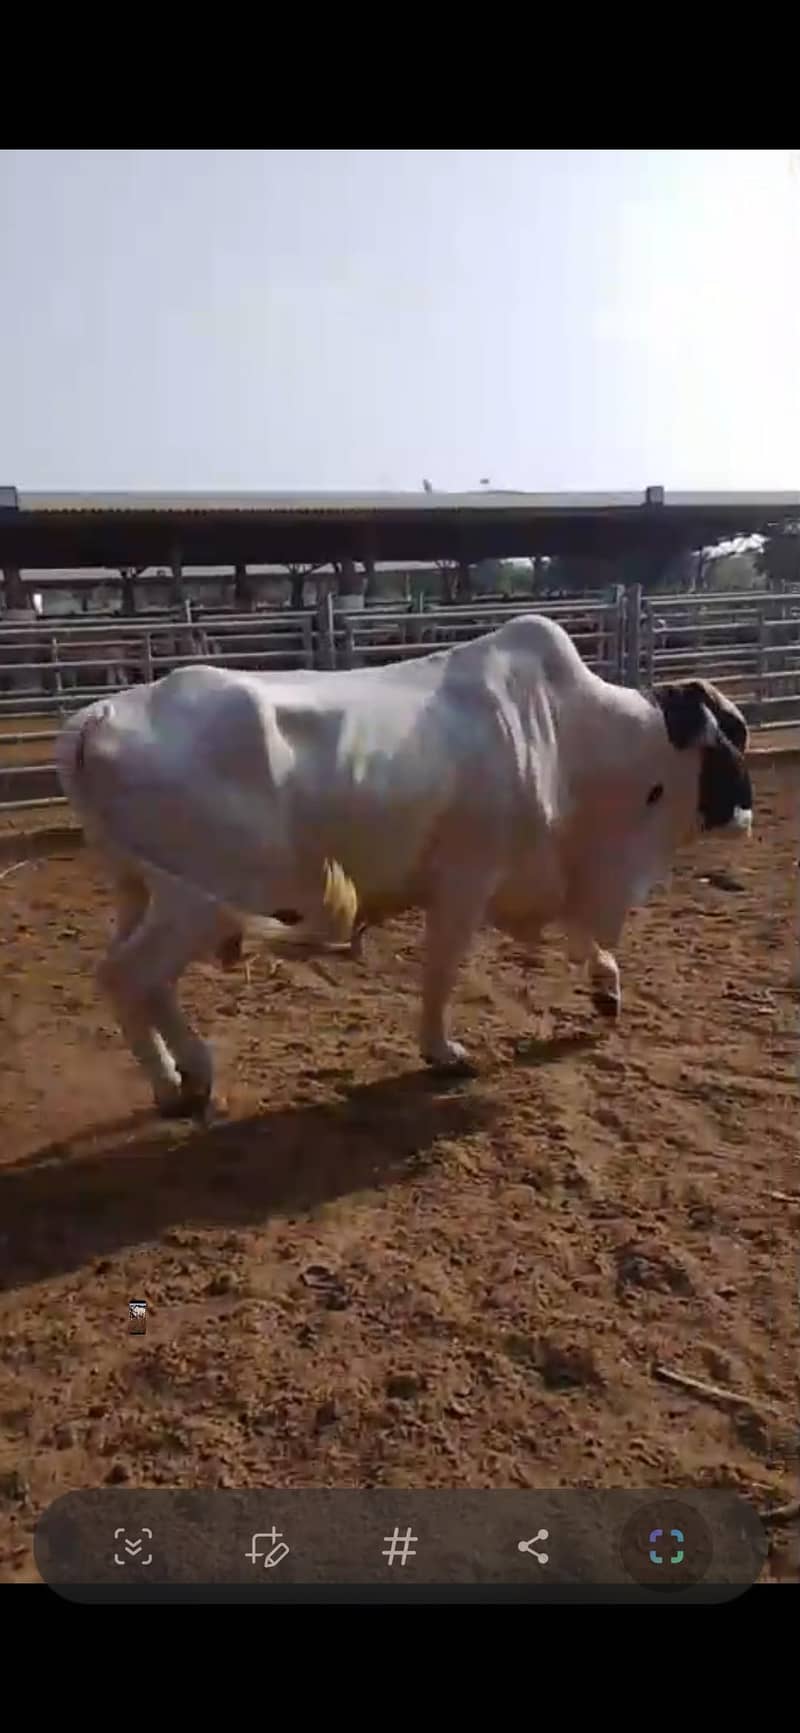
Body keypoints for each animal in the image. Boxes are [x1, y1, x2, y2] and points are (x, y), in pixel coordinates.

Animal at [54, 614, 752, 1119]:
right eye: (730, 739)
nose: (745, 814)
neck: (567, 734)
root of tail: (99, 713)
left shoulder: (547, 874)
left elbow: (582, 938)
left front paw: (606, 990)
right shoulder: (466, 881)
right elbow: (441, 972)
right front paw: (443, 1052)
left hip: (143, 892)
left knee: (144, 981)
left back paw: (188, 1072)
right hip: (198, 898)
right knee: (127, 976)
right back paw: (177, 1084)